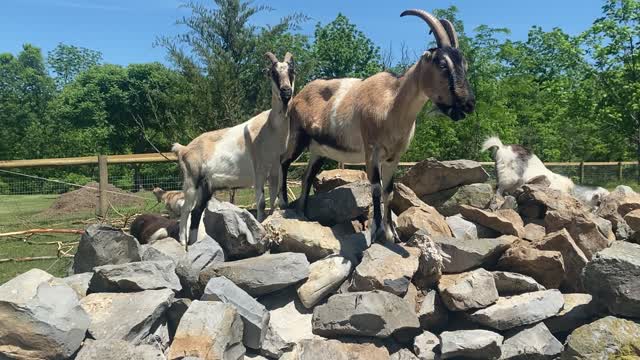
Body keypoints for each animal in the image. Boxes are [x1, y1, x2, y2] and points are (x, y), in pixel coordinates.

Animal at [174, 52, 296, 246]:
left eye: (292, 71)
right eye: (272, 72)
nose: (286, 92)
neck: (270, 128)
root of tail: (183, 149)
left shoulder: (275, 170)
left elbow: (273, 202)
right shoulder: (259, 171)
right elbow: (260, 203)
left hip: (206, 187)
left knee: (196, 211)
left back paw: (194, 243)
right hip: (191, 182)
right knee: (186, 211)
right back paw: (183, 244)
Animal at [280, 9, 476, 245]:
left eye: (464, 65)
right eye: (442, 64)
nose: (468, 104)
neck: (392, 104)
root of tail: (298, 97)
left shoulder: (394, 156)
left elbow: (388, 191)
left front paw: (392, 234)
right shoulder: (371, 150)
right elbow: (375, 188)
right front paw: (375, 233)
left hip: (319, 150)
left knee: (307, 177)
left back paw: (303, 213)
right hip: (297, 137)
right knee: (283, 162)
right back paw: (282, 204)